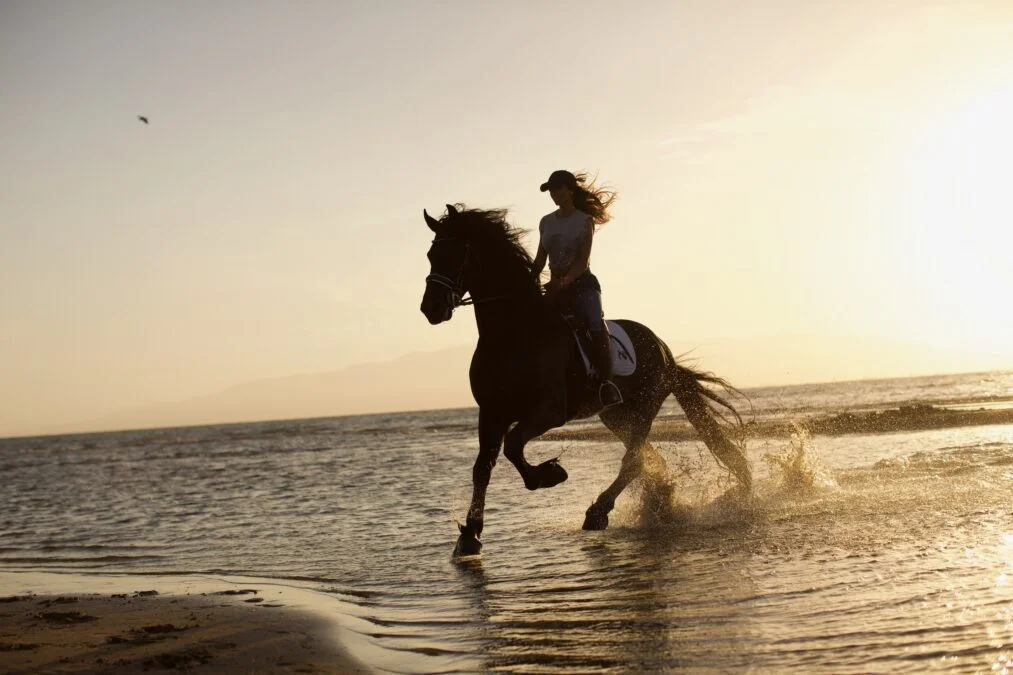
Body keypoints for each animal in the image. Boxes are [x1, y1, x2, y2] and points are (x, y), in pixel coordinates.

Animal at [420, 204, 751, 557]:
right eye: (431, 254)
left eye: (457, 254)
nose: (431, 308)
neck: (513, 334)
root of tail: (664, 350)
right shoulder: (492, 412)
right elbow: (483, 467)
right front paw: (470, 535)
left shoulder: (549, 412)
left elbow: (513, 445)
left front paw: (549, 474)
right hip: (615, 415)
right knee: (645, 458)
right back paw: (657, 505)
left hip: (645, 406)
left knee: (633, 460)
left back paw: (599, 511)